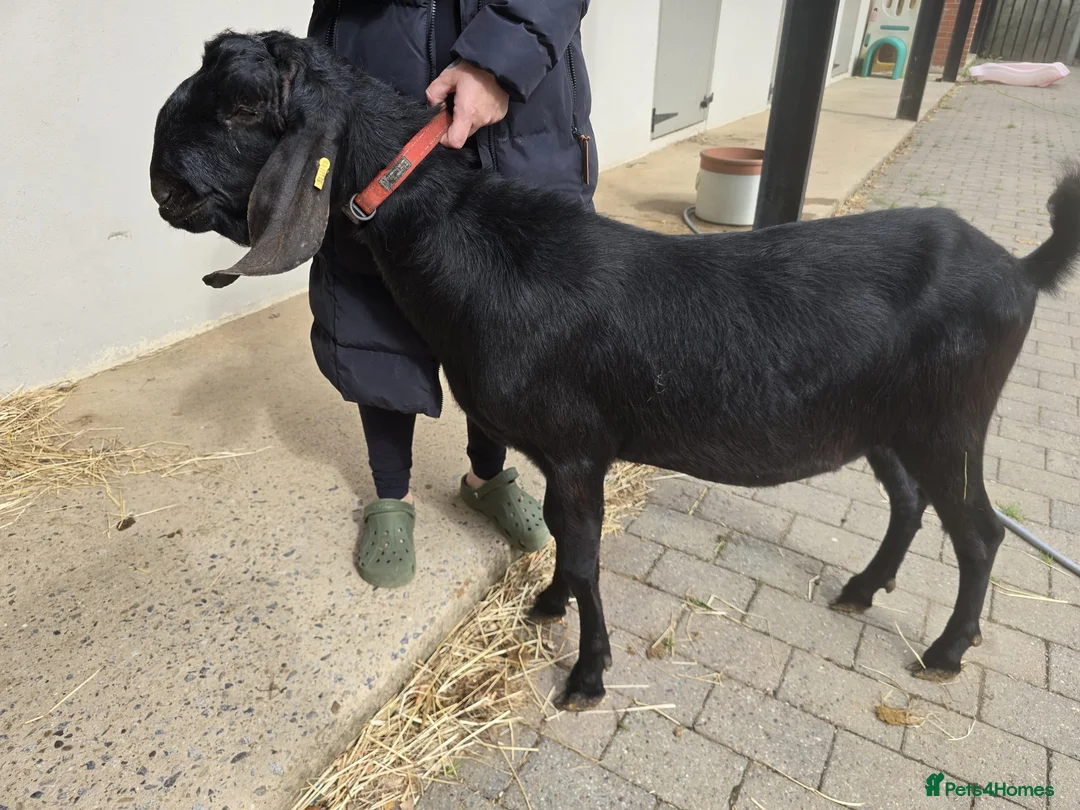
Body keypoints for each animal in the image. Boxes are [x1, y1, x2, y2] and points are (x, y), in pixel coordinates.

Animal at [150, 30, 1080, 710]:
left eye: (243, 106)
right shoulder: (562, 458)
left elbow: (589, 553)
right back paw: (861, 589)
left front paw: (586, 673)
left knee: (981, 531)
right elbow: (568, 546)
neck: (471, 239)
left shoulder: (575, 449)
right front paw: (547, 607)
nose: (161, 182)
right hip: (887, 421)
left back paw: (944, 652)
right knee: (911, 503)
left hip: (951, 419)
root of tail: (1020, 269)